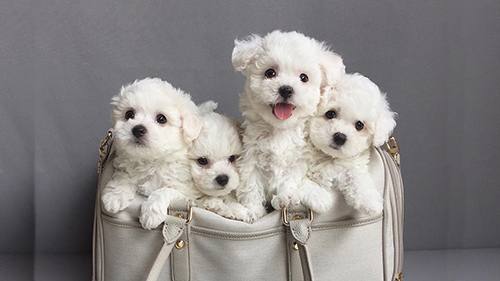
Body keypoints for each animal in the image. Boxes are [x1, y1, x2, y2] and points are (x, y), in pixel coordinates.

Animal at [100, 76, 204, 228]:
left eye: (161, 119)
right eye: (129, 114)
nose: (138, 129)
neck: (151, 160)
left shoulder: (190, 192)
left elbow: (167, 190)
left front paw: (151, 213)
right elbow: (124, 176)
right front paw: (115, 195)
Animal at [231, 29, 346, 221]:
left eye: (303, 78)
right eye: (270, 73)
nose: (286, 89)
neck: (280, 129)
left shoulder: (298, 160)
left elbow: (289, 179)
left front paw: (286, 197)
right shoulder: (250, 158)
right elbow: (251, 185)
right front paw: (253, 210)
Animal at [306, 73, 396, 213]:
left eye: (359, 125)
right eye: (330, 113)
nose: (340, 137)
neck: (328, 156)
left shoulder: (349, 164)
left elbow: (356, 175)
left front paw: (369, 199)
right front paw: (318, 198)